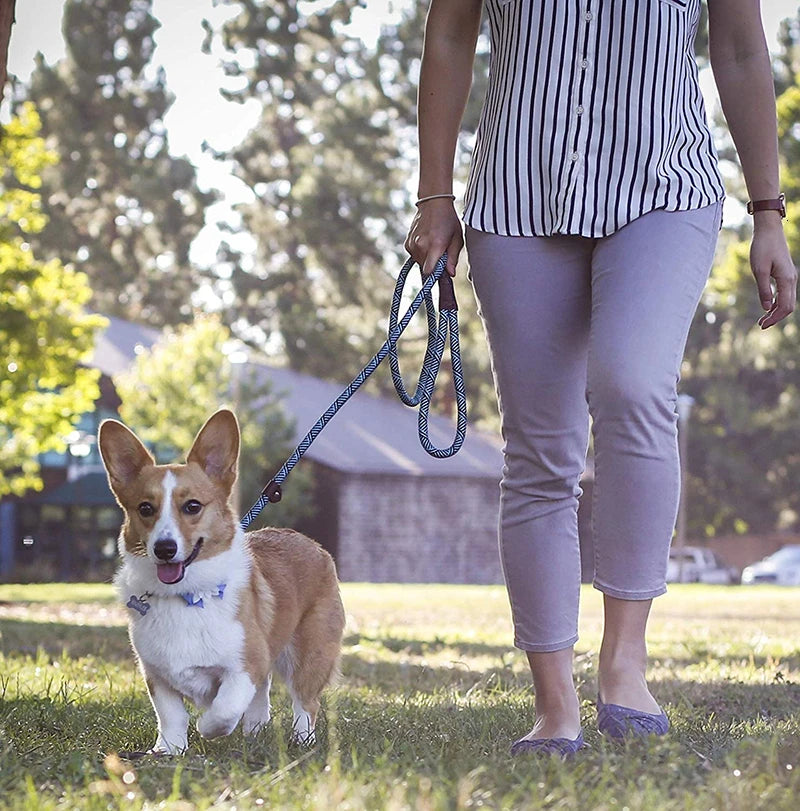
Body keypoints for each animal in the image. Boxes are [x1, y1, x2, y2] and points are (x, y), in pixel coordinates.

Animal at [98, 410, 346, 760]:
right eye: (146, 508)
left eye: (192, 506)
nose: (164, 549)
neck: (186, 595)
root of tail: (312, 543)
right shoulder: (157, 676)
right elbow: (171, 716)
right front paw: (168, 750)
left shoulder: (246, 666)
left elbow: (224, 709)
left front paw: (206, 728)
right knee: (263, 699)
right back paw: (255, 732)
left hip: (310, 655)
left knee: (305, 703)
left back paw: (302, 741)